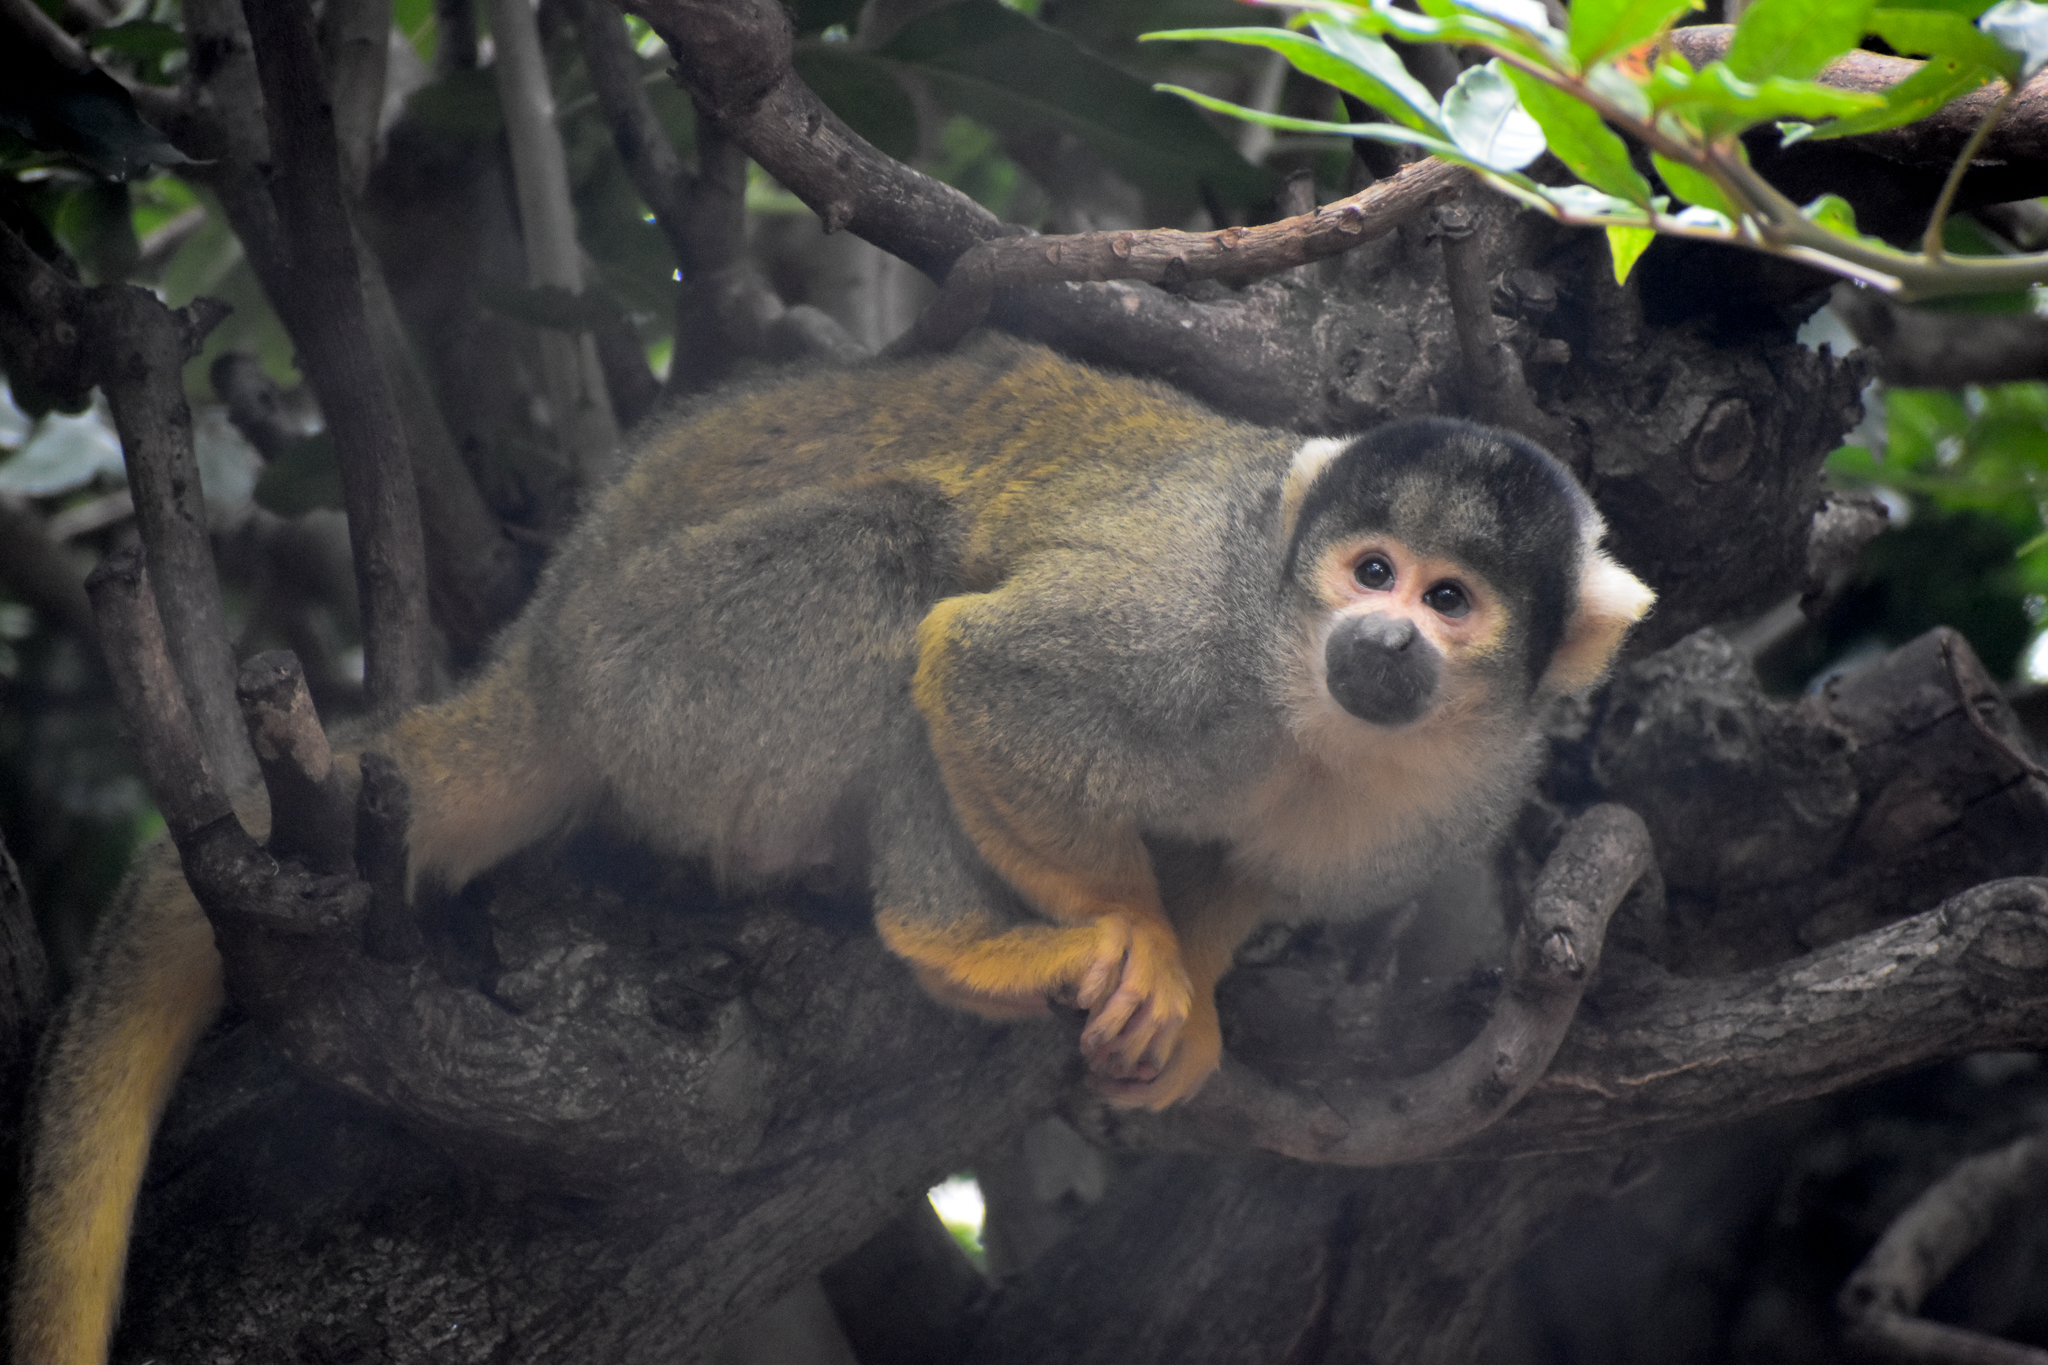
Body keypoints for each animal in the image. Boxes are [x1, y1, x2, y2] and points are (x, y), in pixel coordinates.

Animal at [11, 334, 1653, 1365]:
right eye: (1368, 570)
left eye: (1450, 600)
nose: (1380, 640)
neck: (1327, 728)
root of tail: (548, 648)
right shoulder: (1191, 640)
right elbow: (984, 673)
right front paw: (1133, 954)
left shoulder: (1454, 800)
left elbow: (1248, 869)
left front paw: (1188, 984)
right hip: (675, 674)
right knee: (902, 564)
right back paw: (956, 942)